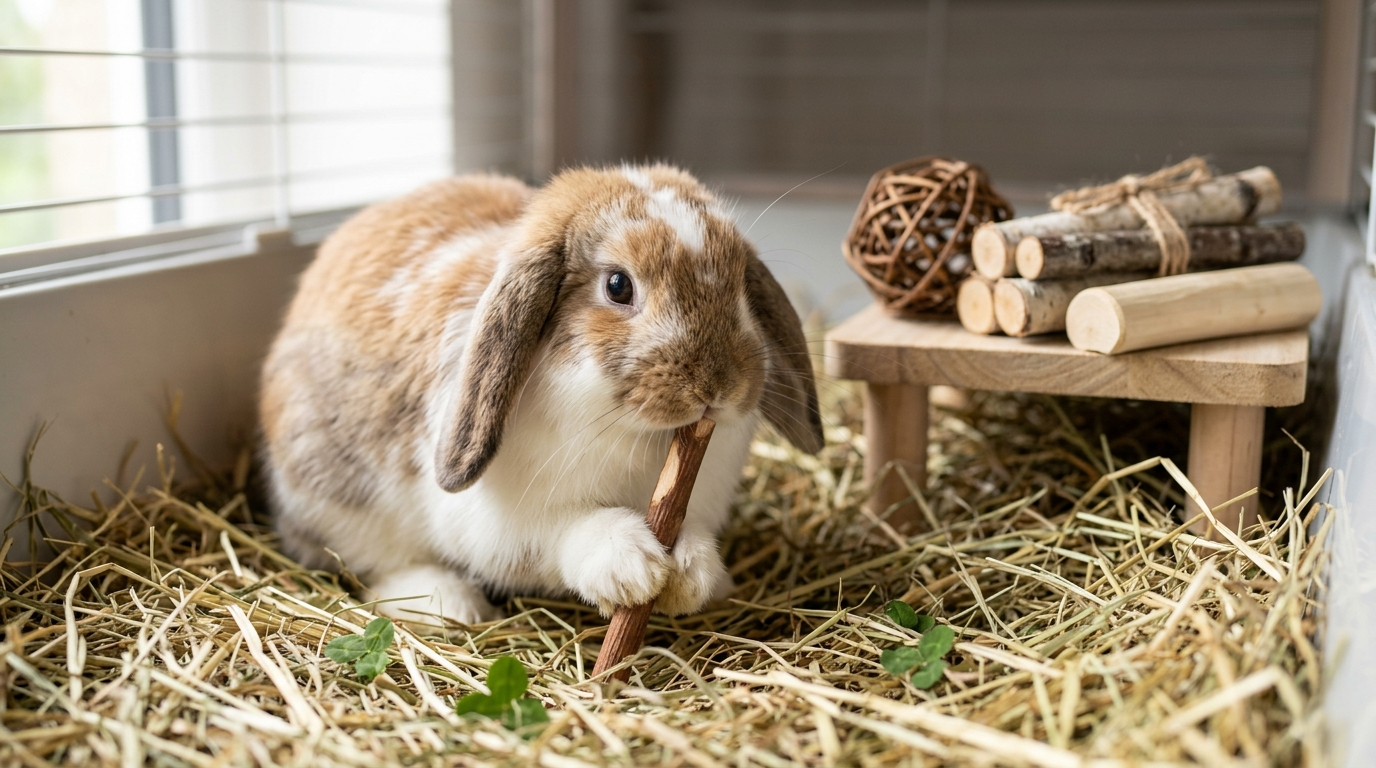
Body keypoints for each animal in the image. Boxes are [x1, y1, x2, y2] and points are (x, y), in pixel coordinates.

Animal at [258, 164, 822, 625]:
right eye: (618, 285)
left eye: (740, 285)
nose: (719, 385)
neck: (639, 438)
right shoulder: (504, 528)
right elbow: (560, 535)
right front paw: (633, 568)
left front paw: (690, 574)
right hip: (338, 503)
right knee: (372, 565)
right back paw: (448, 603)